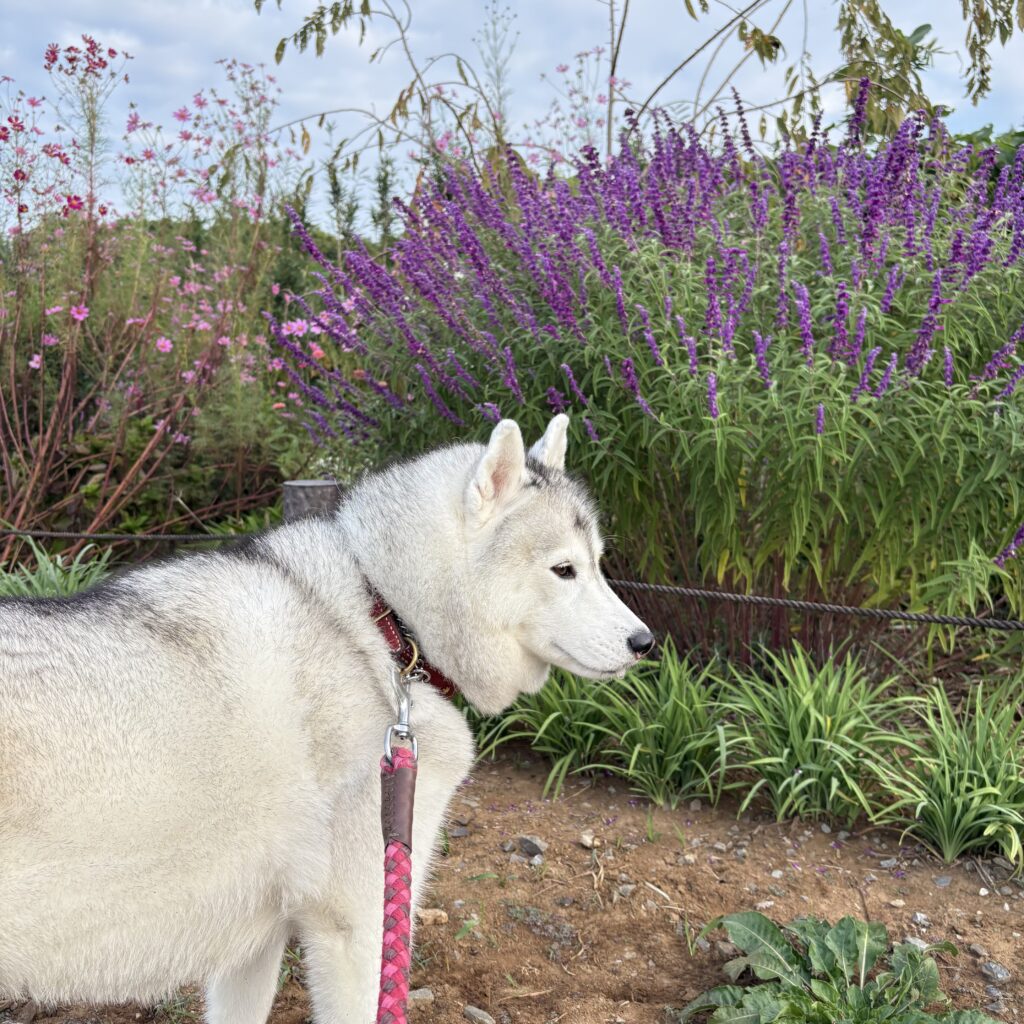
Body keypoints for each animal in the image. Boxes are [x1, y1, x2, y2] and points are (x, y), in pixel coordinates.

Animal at [0, 414, 654, 1024]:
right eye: (563, 570)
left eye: (598, 565)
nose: (645, 642)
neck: (384, 624)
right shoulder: (358, 927)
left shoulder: (253, 945)